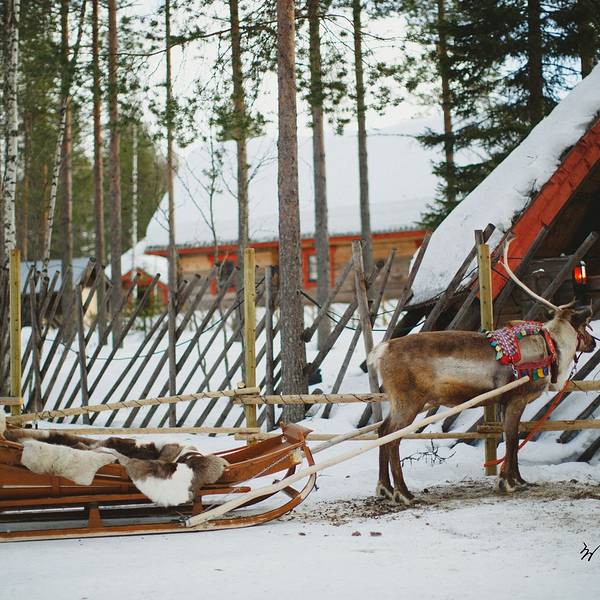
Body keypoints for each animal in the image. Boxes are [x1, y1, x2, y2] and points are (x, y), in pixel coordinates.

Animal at [368, 239, 596, 505]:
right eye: (586, 325)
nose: (593, 343)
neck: (552, 346)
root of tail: (381, 351)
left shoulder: (504, 402)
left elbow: (510, 439)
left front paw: (518, 480)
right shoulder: (517, 398)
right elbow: (511, 439)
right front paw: (508, 482)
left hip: (398, 402)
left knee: (382, 430)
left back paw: (384, 488)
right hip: (409, 401)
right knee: (393, 438)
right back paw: (403, 493)